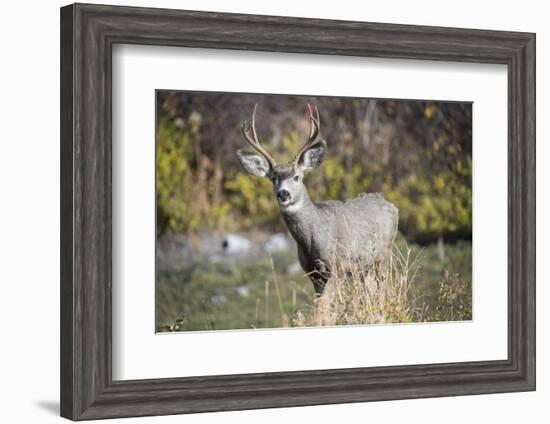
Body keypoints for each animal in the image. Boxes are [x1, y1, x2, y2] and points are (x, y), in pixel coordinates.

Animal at [237, 104, 402, 296]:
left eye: (297, 177)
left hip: (384, 254)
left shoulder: (337, 266)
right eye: (273, 178)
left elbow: (324, 305)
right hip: (365, 267)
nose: (283, 194)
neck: (312, 238)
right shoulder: (313, 273)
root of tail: (391, 205)